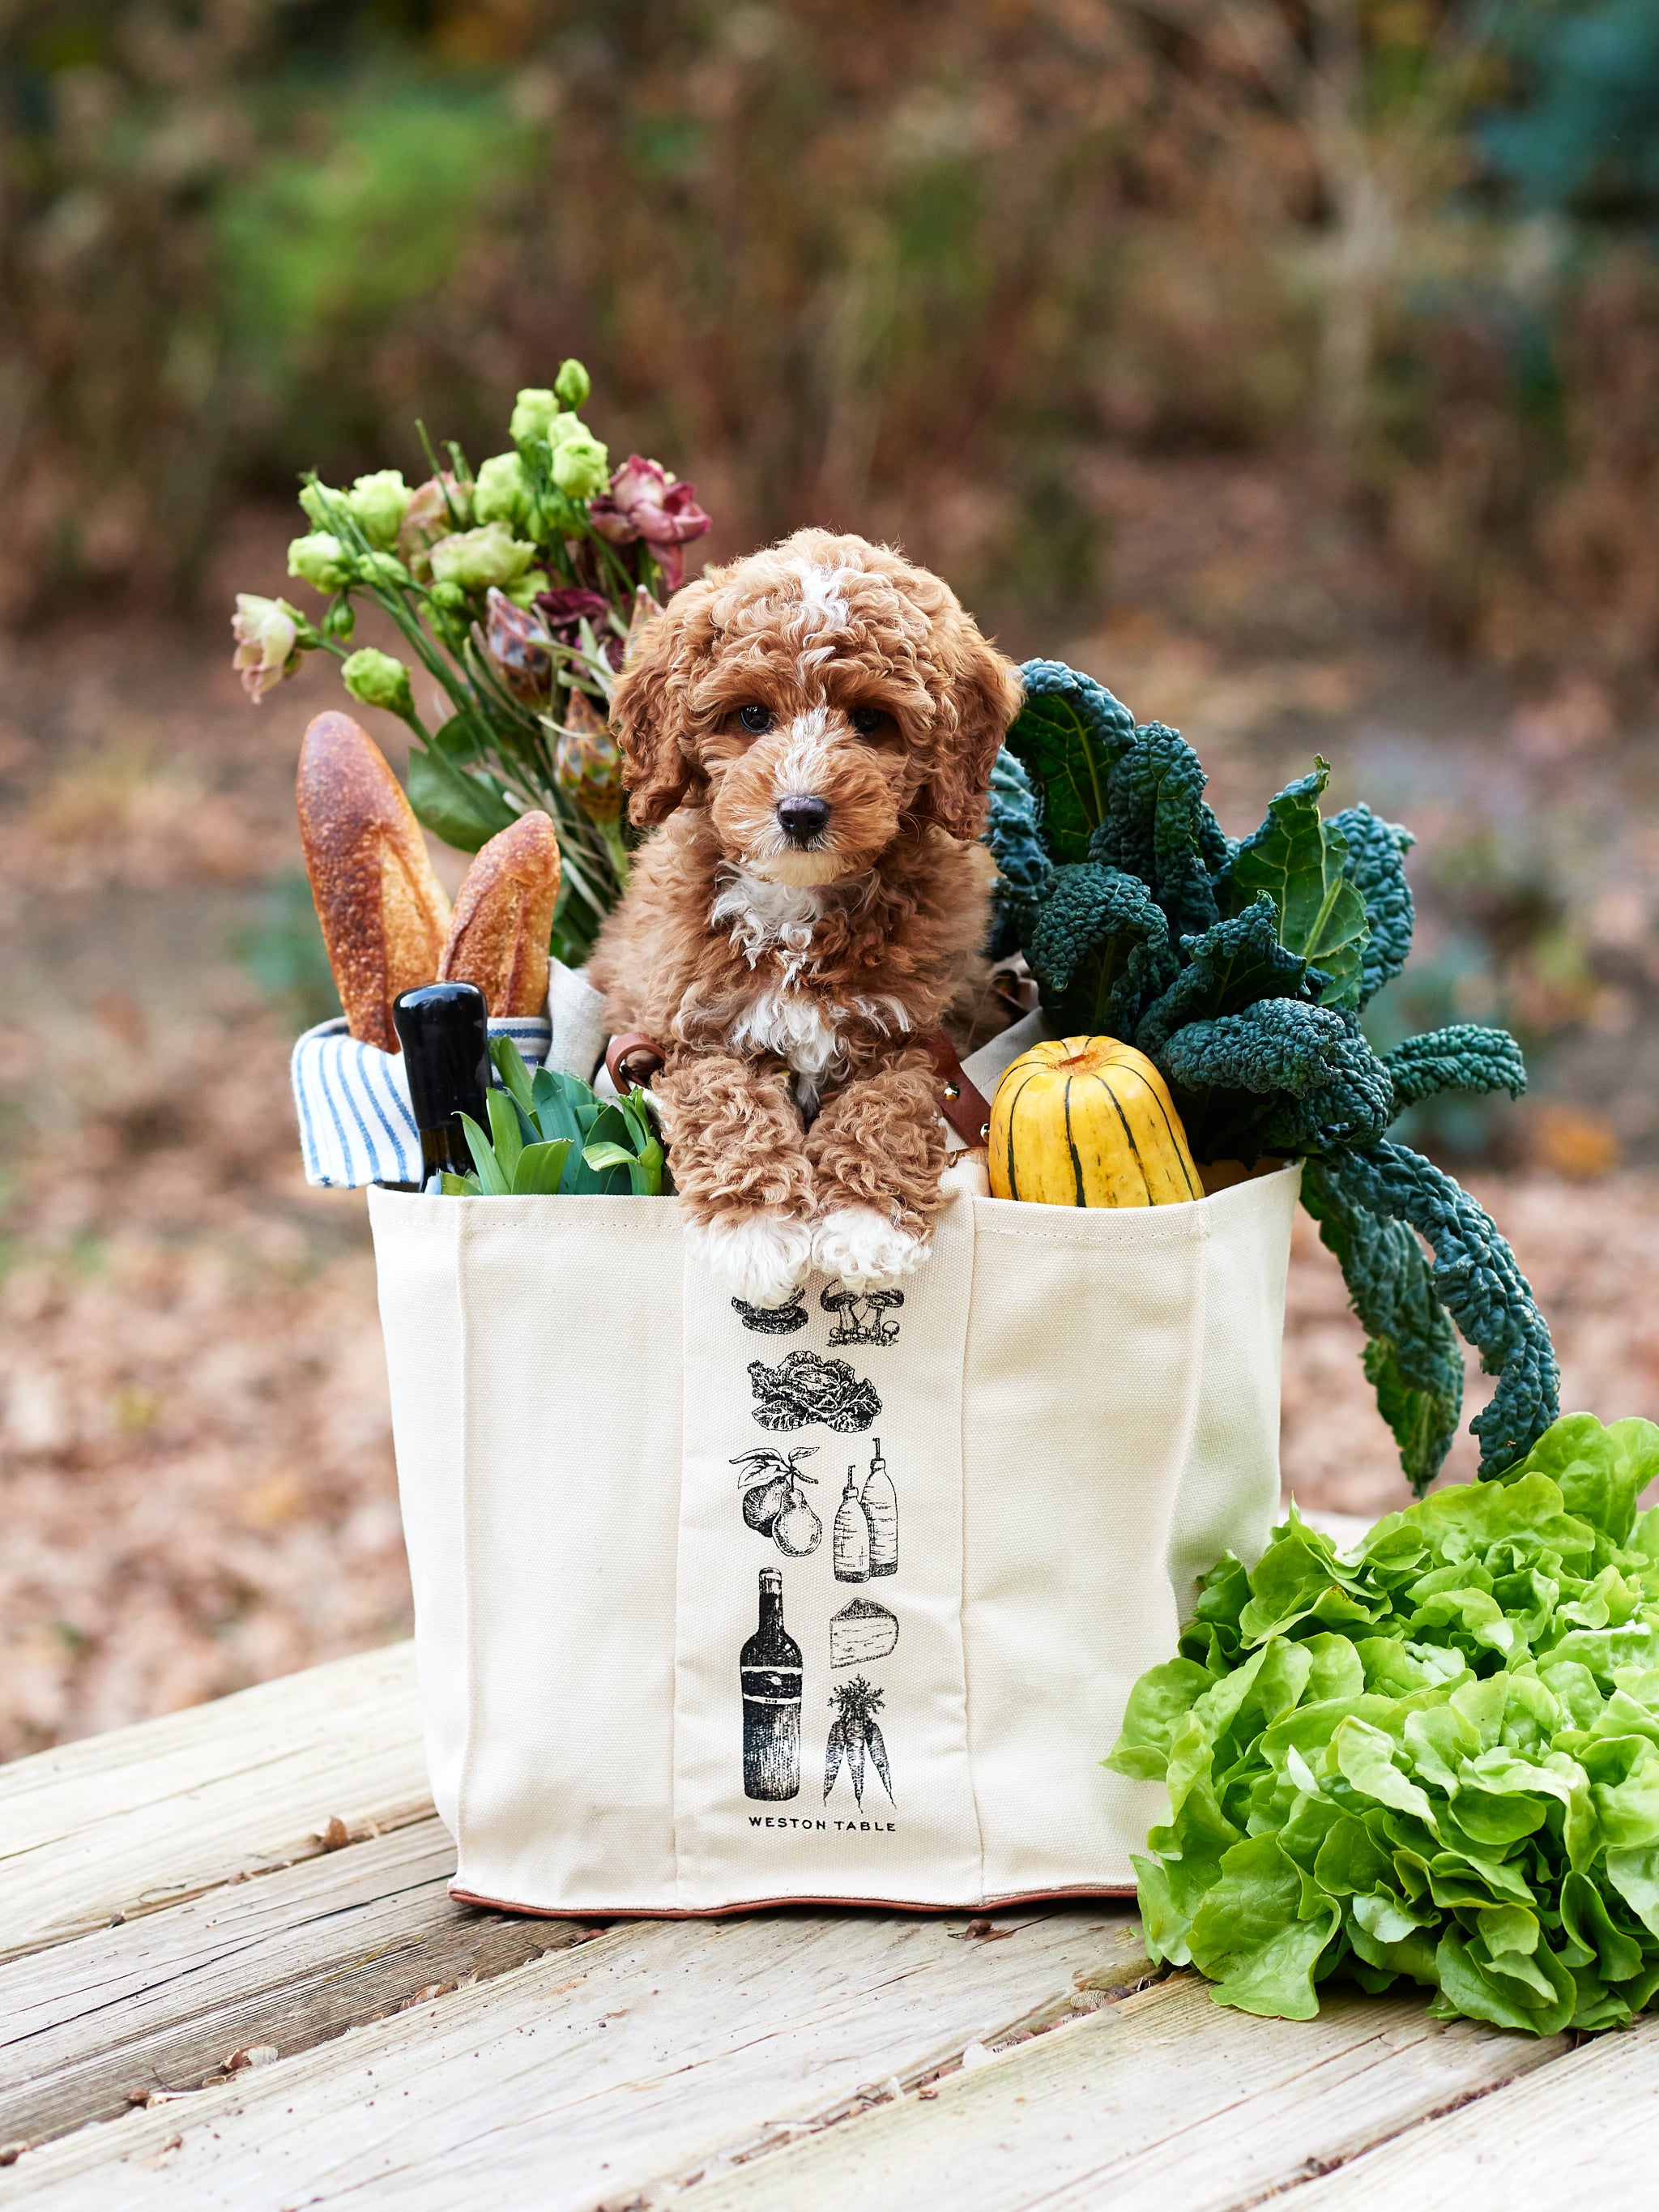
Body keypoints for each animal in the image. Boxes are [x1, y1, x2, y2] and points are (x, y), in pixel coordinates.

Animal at [592, 526, 1021, 1300]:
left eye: (872, 720)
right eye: (751, 716)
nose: (800, 810)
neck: (796, 907)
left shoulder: (919, 1028)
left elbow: (891, 1103)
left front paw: (866, 1225)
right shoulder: (685, 1030)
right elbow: (725, 1100)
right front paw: (756, 1230)